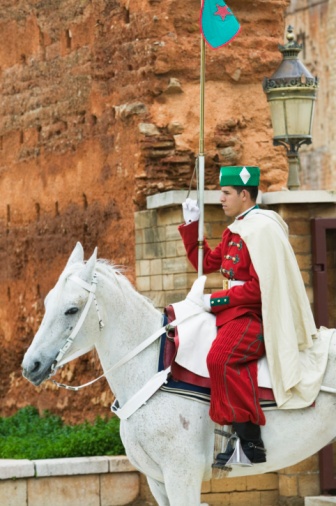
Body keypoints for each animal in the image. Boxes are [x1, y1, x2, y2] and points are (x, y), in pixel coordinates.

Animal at [22, 243, 334, 504]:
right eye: (48, 303)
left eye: (72, 310)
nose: (31, 366)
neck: (155, 371)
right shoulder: (158, 480)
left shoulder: (181, 474)